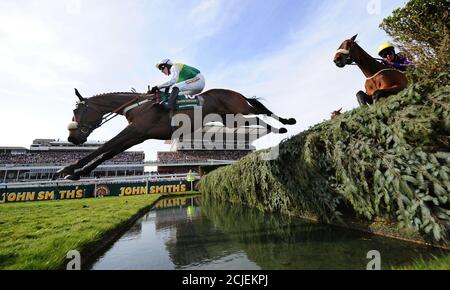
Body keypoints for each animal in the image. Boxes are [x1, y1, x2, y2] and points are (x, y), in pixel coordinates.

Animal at [58, 89, 298, 179]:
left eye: (76, 111)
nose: (72, 138)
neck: (137, 106)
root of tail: (232, 91)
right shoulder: (138, 135)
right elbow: (109, 152)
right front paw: (78, 172)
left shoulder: (135, 130)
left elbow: (105, 146)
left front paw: (69, 168)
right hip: (232, 116)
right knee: (259, 114)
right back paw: (282, 126)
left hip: (239, 111)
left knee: (259, 112)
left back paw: (284, 124)